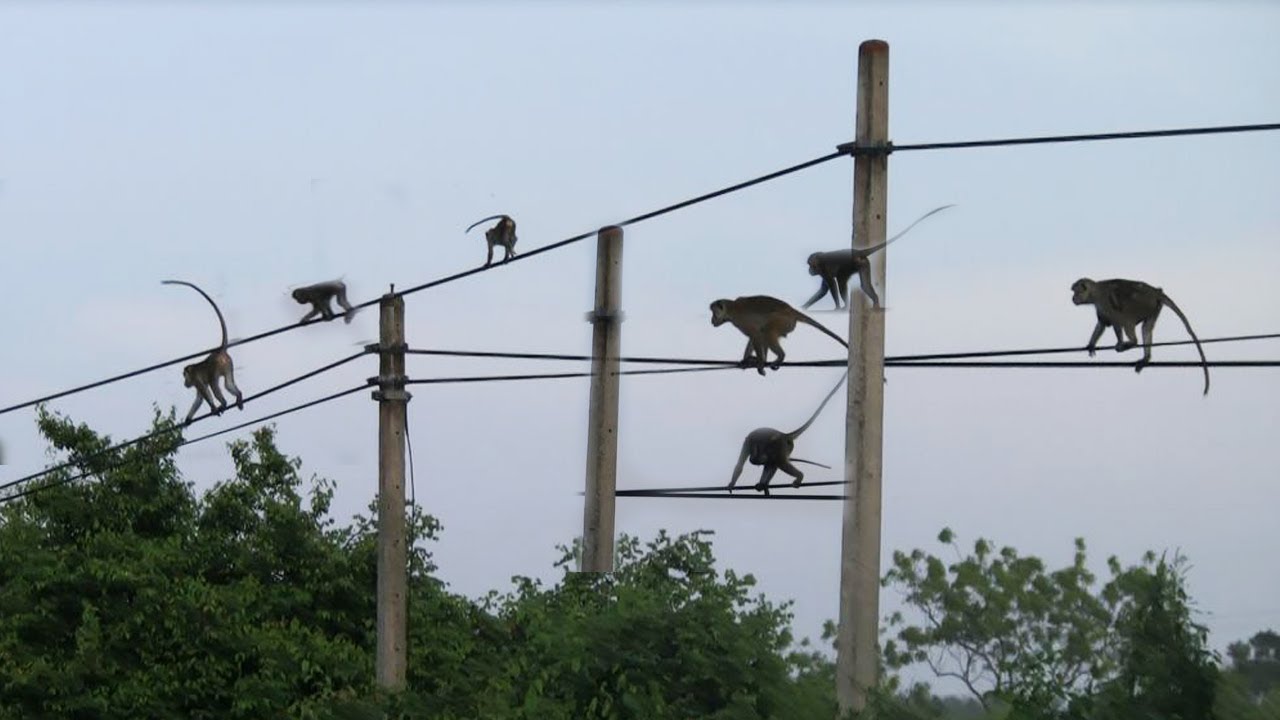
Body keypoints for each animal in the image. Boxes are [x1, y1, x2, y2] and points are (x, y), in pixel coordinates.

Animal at [163, 280, 245, 423]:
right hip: (229, 364)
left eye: (184, 376)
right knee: (228, 383)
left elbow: (204, 393)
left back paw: (223, 403)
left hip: (217, 366)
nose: (184, 382)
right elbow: (199, 398)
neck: (192, 370)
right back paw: (239, 396)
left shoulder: (195, 378)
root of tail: (220, 352)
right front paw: (188, 419)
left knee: (214, 383)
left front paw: (213, 407)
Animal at [710, 295, 848, 376]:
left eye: (713, 313)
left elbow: (755, 335)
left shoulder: (741, 320)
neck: (731, 309)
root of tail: (791, 310)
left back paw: (780, 356)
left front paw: (761, 362)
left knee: (767, 331)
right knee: (765, 332)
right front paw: (746, 360)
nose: (712, 320)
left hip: (783, 321)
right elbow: (755, 336)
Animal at [802, 204, 956, 311]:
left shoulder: (824, 268)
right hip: (863, 263)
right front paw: (804, 306)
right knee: (864, 284)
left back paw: (846, 306)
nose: (809, 270)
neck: (819, 261)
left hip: (852, 264)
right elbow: (823, 289)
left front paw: (838, 306)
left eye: (809, 264)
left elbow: (831, 285)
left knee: (841, 280)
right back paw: (875, 301)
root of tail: (857, 252)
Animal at [1070, 277, 1210, 395]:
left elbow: (1116, 320)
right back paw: (1146, 358)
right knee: (1146, 328)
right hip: (1155, 306)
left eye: (1076, 292)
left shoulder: (1104, 301)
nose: (1073, 298)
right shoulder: (1099, 306)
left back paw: (1132, 342)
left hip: (1142, 302)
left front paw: (1120, 342)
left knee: (1126, 318)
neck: (1095, 291)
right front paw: (1091, 344)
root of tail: (1155, 291)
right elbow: (1102, 324)